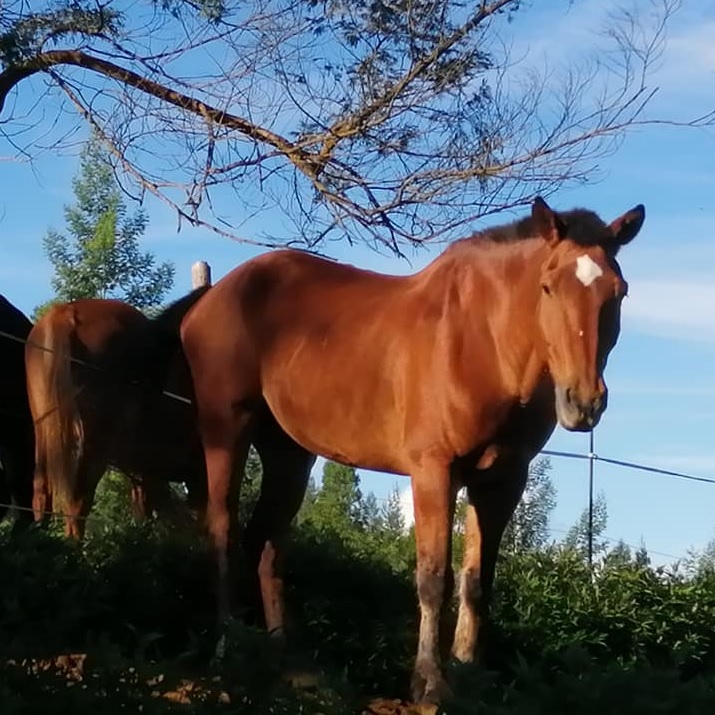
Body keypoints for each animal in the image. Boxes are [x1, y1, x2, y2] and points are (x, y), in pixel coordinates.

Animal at [178, 196, 645, 704]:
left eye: (619, 291)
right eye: (548, 287)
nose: (584, 402)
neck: (483, 344)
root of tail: (212, 298)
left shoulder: (502, 480)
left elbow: (477, 581)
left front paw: (468, 674)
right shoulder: (433, 471)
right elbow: (433, 577)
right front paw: (429, 684)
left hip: (290, 452)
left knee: (265, 542)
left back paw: (285, 662)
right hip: (226, 428)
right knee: (223, 530)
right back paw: (228, 650)